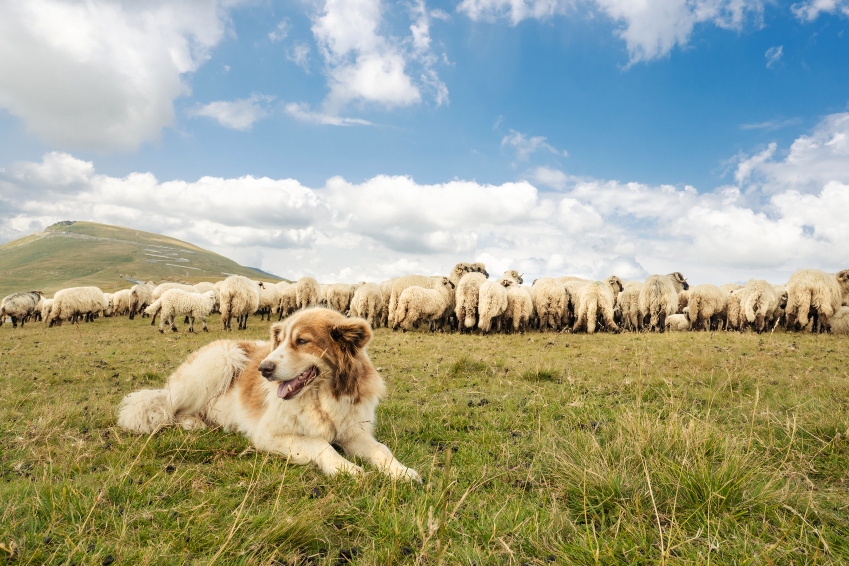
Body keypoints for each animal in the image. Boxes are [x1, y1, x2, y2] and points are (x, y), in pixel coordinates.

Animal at [117, 308, 422, 482]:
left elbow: (382, 450)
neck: (321, 398)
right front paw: (345, 468)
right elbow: (320, 444)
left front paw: (401, 471)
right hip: (222, 360)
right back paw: (191, 422)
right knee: (169, 407)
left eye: (302, 341)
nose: (263, 368)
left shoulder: (354, 432)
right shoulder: (268, 435)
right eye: (281, 340)